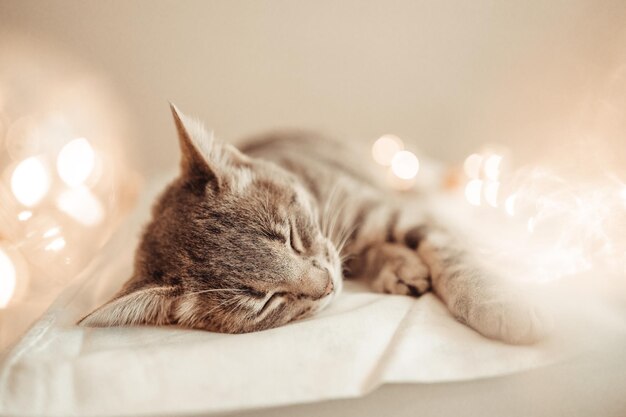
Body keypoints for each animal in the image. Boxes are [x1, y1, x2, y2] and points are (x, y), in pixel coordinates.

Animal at [79, 105, 552, 344]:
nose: (325, 286)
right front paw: (397, 264)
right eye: (264, 300)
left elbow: (453, 254)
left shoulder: (389, 210)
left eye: (289, 235)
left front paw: (494, 301)